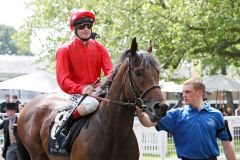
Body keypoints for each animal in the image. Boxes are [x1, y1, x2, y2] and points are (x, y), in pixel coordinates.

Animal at [16, 37, 169, 160]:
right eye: (138, 72)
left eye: (157, 72)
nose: (161, 107)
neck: (112, 133)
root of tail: (27, 107)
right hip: (37, 154)